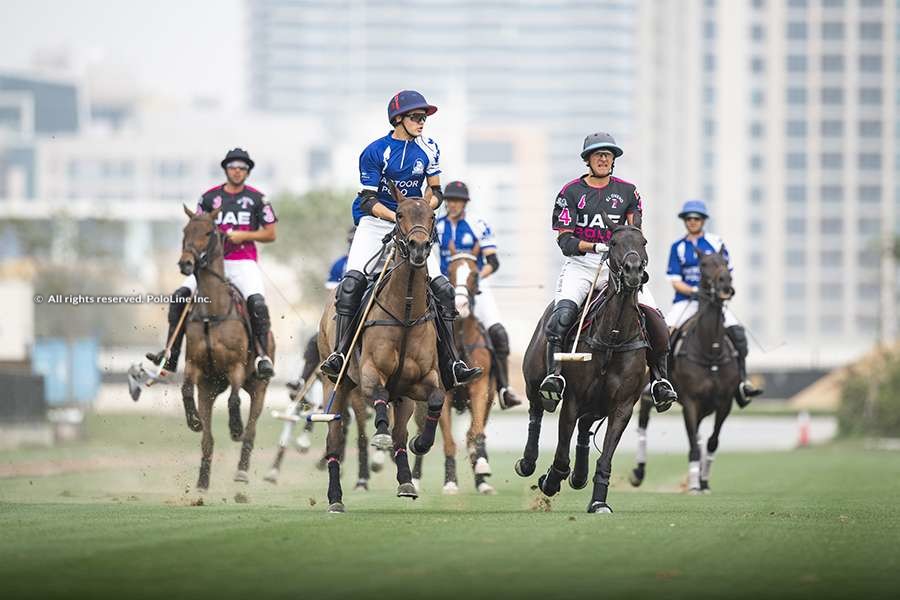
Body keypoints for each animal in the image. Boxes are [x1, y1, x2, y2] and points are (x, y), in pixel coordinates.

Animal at [177, 204, 272, 490]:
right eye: (185, 231)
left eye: (209, 232)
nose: (186, 263)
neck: (213, 312)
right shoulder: (194, 367)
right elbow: (186, 389)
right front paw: (193, 420)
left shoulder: (236, 366)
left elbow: (234, 399)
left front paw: (235, 427)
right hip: (209, 389)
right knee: (208, 439)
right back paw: (202, 481)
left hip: (259, 387)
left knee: (251, 429)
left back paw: (241, 470)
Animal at [318, 196, 444, 510]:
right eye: (398, 214)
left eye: (432, 215)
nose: (418, 247)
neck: (406, 312)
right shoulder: (370, 374)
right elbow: (378, 394)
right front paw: (380, 435)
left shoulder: (422, 379)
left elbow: (436, 399)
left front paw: (421, 443)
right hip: (335, 386)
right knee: (334, 440)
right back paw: (335, 498)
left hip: (405, 398)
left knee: (401, 435)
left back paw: (406, 481)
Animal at [412, 251, 496, 494]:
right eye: (448, 270)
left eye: (475, 274)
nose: (461, 304)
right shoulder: (443, 395)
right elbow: (449, 441)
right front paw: (450, 482)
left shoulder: (480, 388)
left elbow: (475, 433)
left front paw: (481, 466)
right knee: (420, 432)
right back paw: (414, 479)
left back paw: (482, 479)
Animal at [516, 211, 652, 510]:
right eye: (612, 243)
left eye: (644, 241)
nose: (633, 271)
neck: (612, 338)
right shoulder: (573, 399)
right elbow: (560, 455)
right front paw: (550, 480)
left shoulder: (623, 406)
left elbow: (605, 458)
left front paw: (599, 502)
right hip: (534, 378)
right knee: (536, 410)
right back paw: (528, 462)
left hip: (597, 405)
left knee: (585, 429)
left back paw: (579, 476)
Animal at [628, 246, 740, 494]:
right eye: (703, 265)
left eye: (725, 263)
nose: (726, 285)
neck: (711, 351)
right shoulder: (690, 402)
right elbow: (693, 444)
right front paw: (695, 485)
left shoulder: (724, 403)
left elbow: (711, 442)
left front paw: (704, 481)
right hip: (648, 395)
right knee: (642, 427)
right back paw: (638, 472)